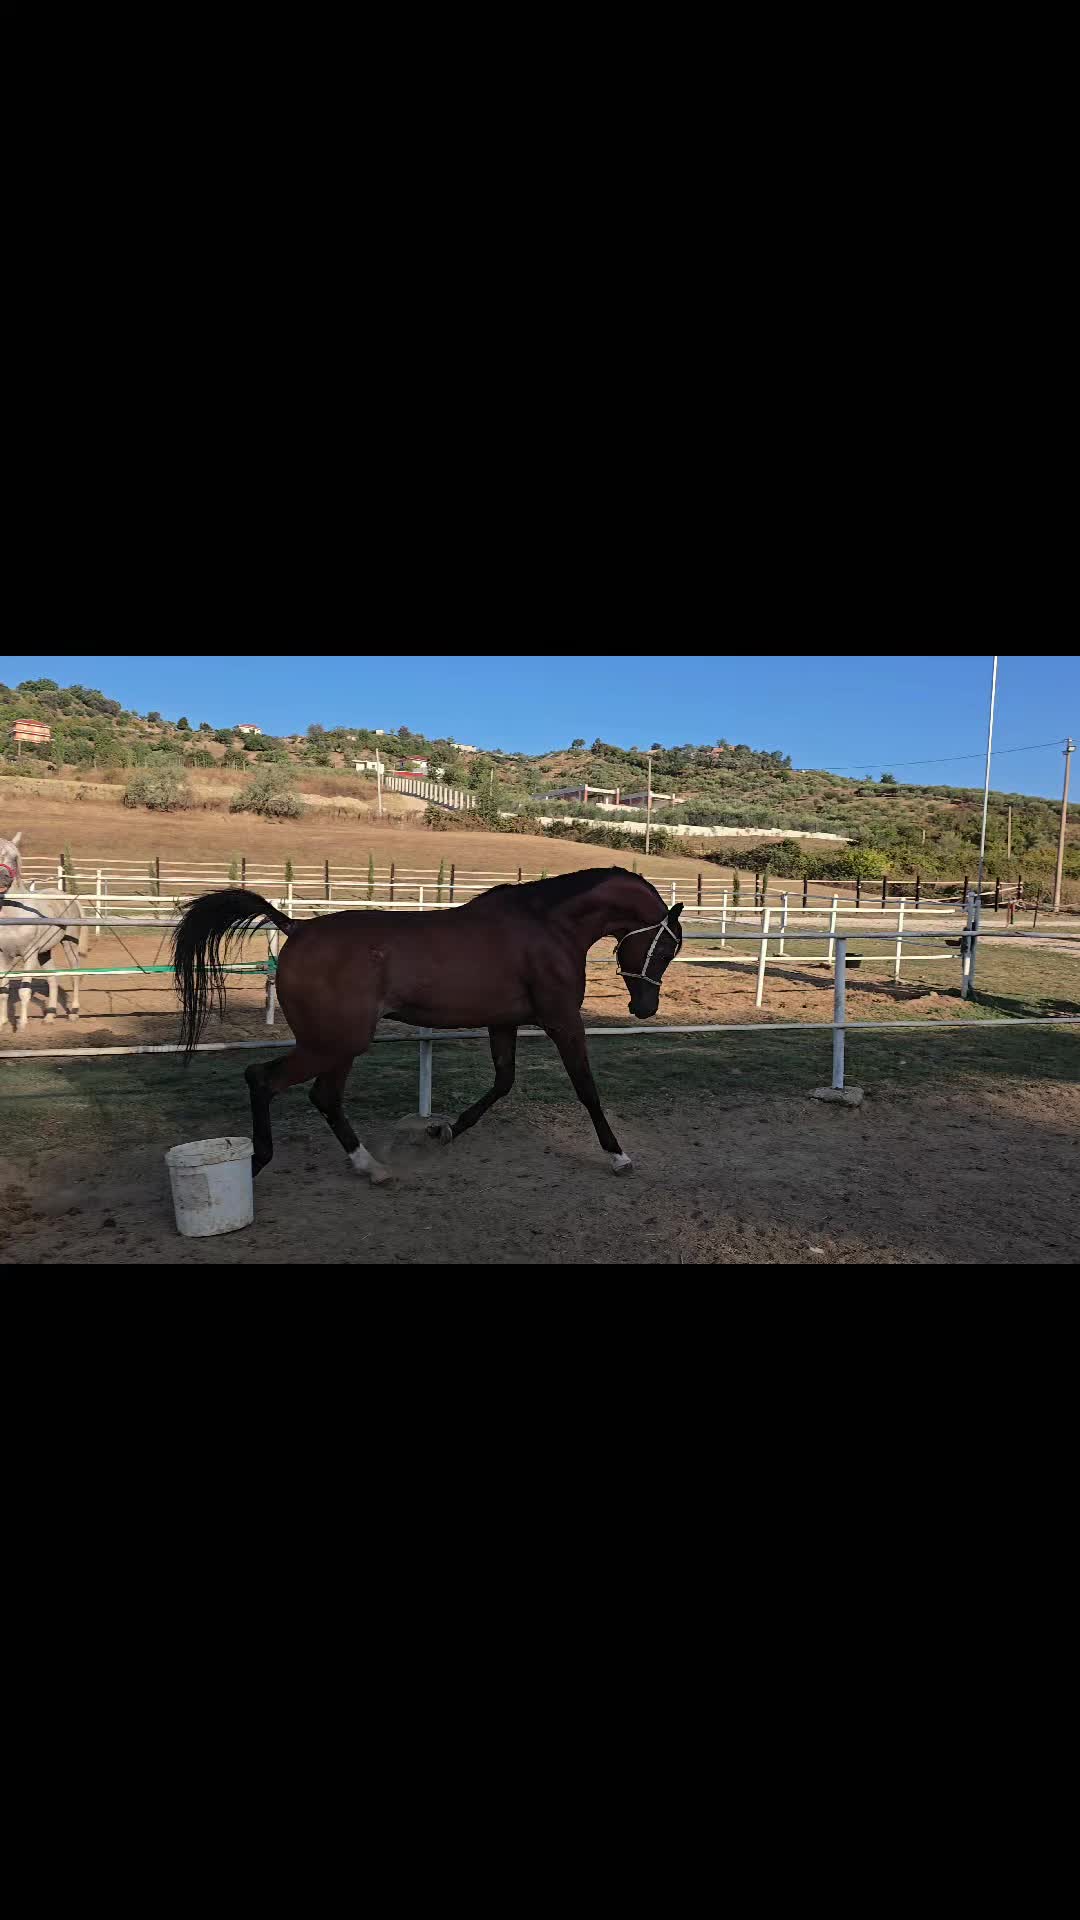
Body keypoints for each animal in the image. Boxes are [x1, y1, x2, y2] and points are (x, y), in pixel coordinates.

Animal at [0, 832, 83, 1030]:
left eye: (15, 858)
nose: (3, 878)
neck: (14, 913)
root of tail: (67, 897)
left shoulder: (29, 954)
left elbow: (24, 990)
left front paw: (22, 1025)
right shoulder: (3, 955)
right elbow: (3, 991)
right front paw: (3, 1023)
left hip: (69, 944)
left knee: (75, 974)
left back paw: (73, 1014)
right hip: (45, 953)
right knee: (53, 979)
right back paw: (49, 1017)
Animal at [172, 866, 684, 1181]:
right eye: (664, 946)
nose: (644, 1008)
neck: (548, 926)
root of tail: (296, 927)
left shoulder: (504, 1023)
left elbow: (502, 1083)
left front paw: (445, 1131)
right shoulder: (562, 1020)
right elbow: (586, 1088)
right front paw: (618, 1156)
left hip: (339, 1045)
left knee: (324, 1097)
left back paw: (371, 1167)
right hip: (333, 1043)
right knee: (263, 1078)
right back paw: (259, 1162)